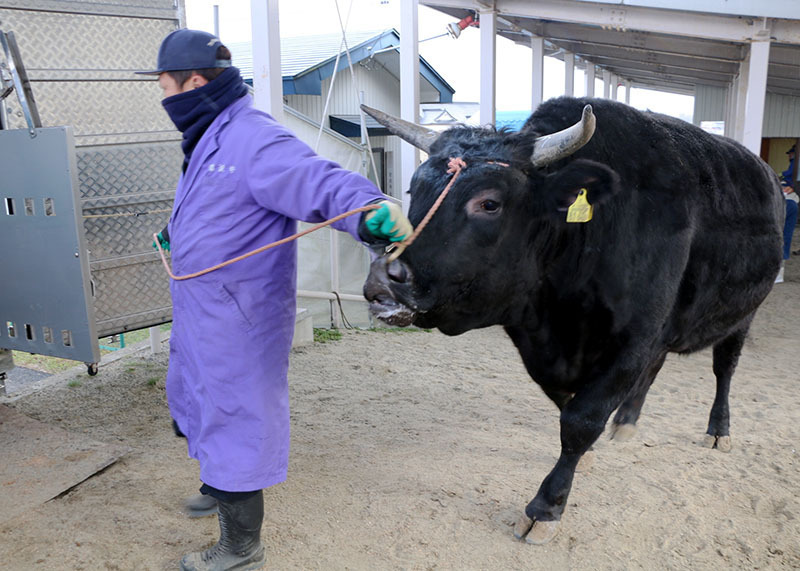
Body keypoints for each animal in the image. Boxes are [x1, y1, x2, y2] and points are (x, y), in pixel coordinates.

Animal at [360, 97, 780, 544]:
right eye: (414, 189)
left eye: (489, 203)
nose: (382, 279)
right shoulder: (542, 346)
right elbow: (565, 404)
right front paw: (591, 453)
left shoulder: (634, 340)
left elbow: (581, 420)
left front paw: (546, 507)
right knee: (655, 369)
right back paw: (627, 423)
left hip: (743, 315)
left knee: (724, 369)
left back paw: (718, 430)